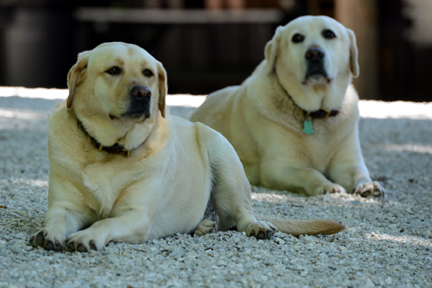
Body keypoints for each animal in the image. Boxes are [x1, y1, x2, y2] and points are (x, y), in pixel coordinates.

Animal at [27, 42, 344, 252]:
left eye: (148, 73)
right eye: (113, 70)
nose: (144, 93)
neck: (109, 150)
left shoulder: (136, 216)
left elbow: (105, 224)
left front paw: (86, 236)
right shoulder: (65, 207)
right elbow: (56, 218)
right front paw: (48, 233)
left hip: (222, 154)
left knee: (242, 215)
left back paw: (256, 226)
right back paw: (203, 225)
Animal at [191, 15, 384, 198]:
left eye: (329, 34)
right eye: (297, 38)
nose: (314, 54)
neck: (315, 113)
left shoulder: (347, 162)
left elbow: (359, 172)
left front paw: (368, 185)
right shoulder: (277, 166)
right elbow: (309, 172)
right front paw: (326, 185)